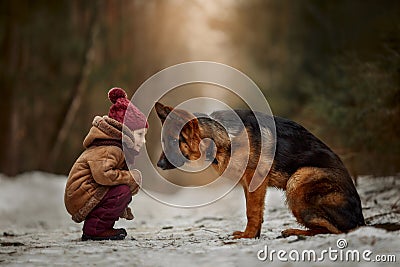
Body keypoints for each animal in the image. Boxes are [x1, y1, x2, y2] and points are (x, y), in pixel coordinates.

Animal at [155, 102, 364, 239]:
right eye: (163, 142)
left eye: (173, 142)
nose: (159, 165)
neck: (222, 138)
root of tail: (360, 218)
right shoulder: (247, 184)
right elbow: (255, 211)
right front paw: (253, 235)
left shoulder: (255, 180)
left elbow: (252, 211)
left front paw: (247, 236)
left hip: (297, 180)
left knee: (337, 229)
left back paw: (296, 231)